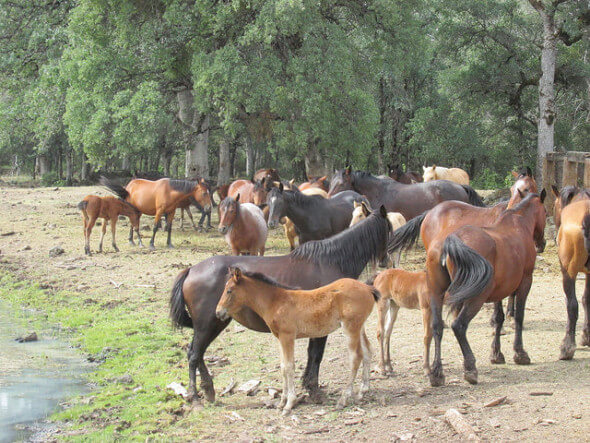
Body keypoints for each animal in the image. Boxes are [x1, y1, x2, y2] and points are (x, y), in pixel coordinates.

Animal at [217, 268, 380, 416]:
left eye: (229, 290)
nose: (218, 312)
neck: (275, 302)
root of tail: (367, 287)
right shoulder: (279, 338)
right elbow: (283, 367)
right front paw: (281, 402)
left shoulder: (287, 336)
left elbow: (289, 367)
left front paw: (289, 404)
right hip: (360, 327)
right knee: (367, 351)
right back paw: (362, 391)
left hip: (350, 328)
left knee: (355, 357)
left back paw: (344, 399)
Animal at [428, 193, 548, 386]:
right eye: (545, 211)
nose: (542, 243)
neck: (517, 225)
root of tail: (452, 241)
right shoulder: (525, 282)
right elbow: (519, 317)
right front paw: (520, 353)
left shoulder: (500, 289)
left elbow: (498, 318)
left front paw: (497, 354)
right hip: (476, 298)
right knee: (458, 326)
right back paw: (470, 368)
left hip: (437, 293)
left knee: (438, 326)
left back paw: (437, 373)